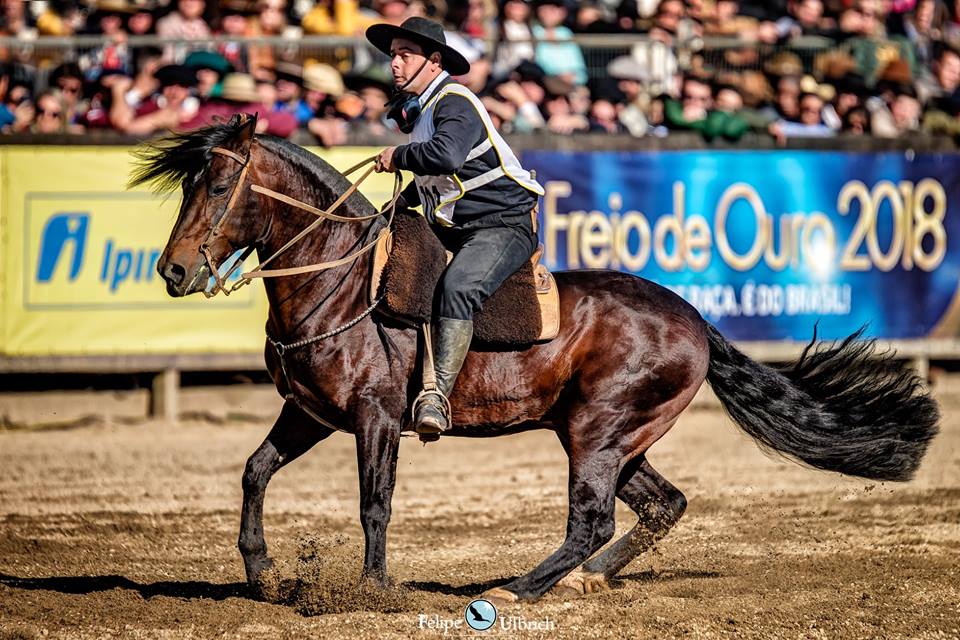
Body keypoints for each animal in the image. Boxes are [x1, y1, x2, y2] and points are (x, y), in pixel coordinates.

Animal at [131, 116, 940, 604]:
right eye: (190, 183)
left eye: (220, 183)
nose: (173, 272)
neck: (342, 279)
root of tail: (694, 321)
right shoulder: (310, 413)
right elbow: (255, 471)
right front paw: (262, 570)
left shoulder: (376, 419)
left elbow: (374, 503)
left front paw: (372, 589)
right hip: (614, 438)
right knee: (660, 505)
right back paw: (584, 582)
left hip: (598, 434)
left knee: (593, 521)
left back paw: (519, 589)